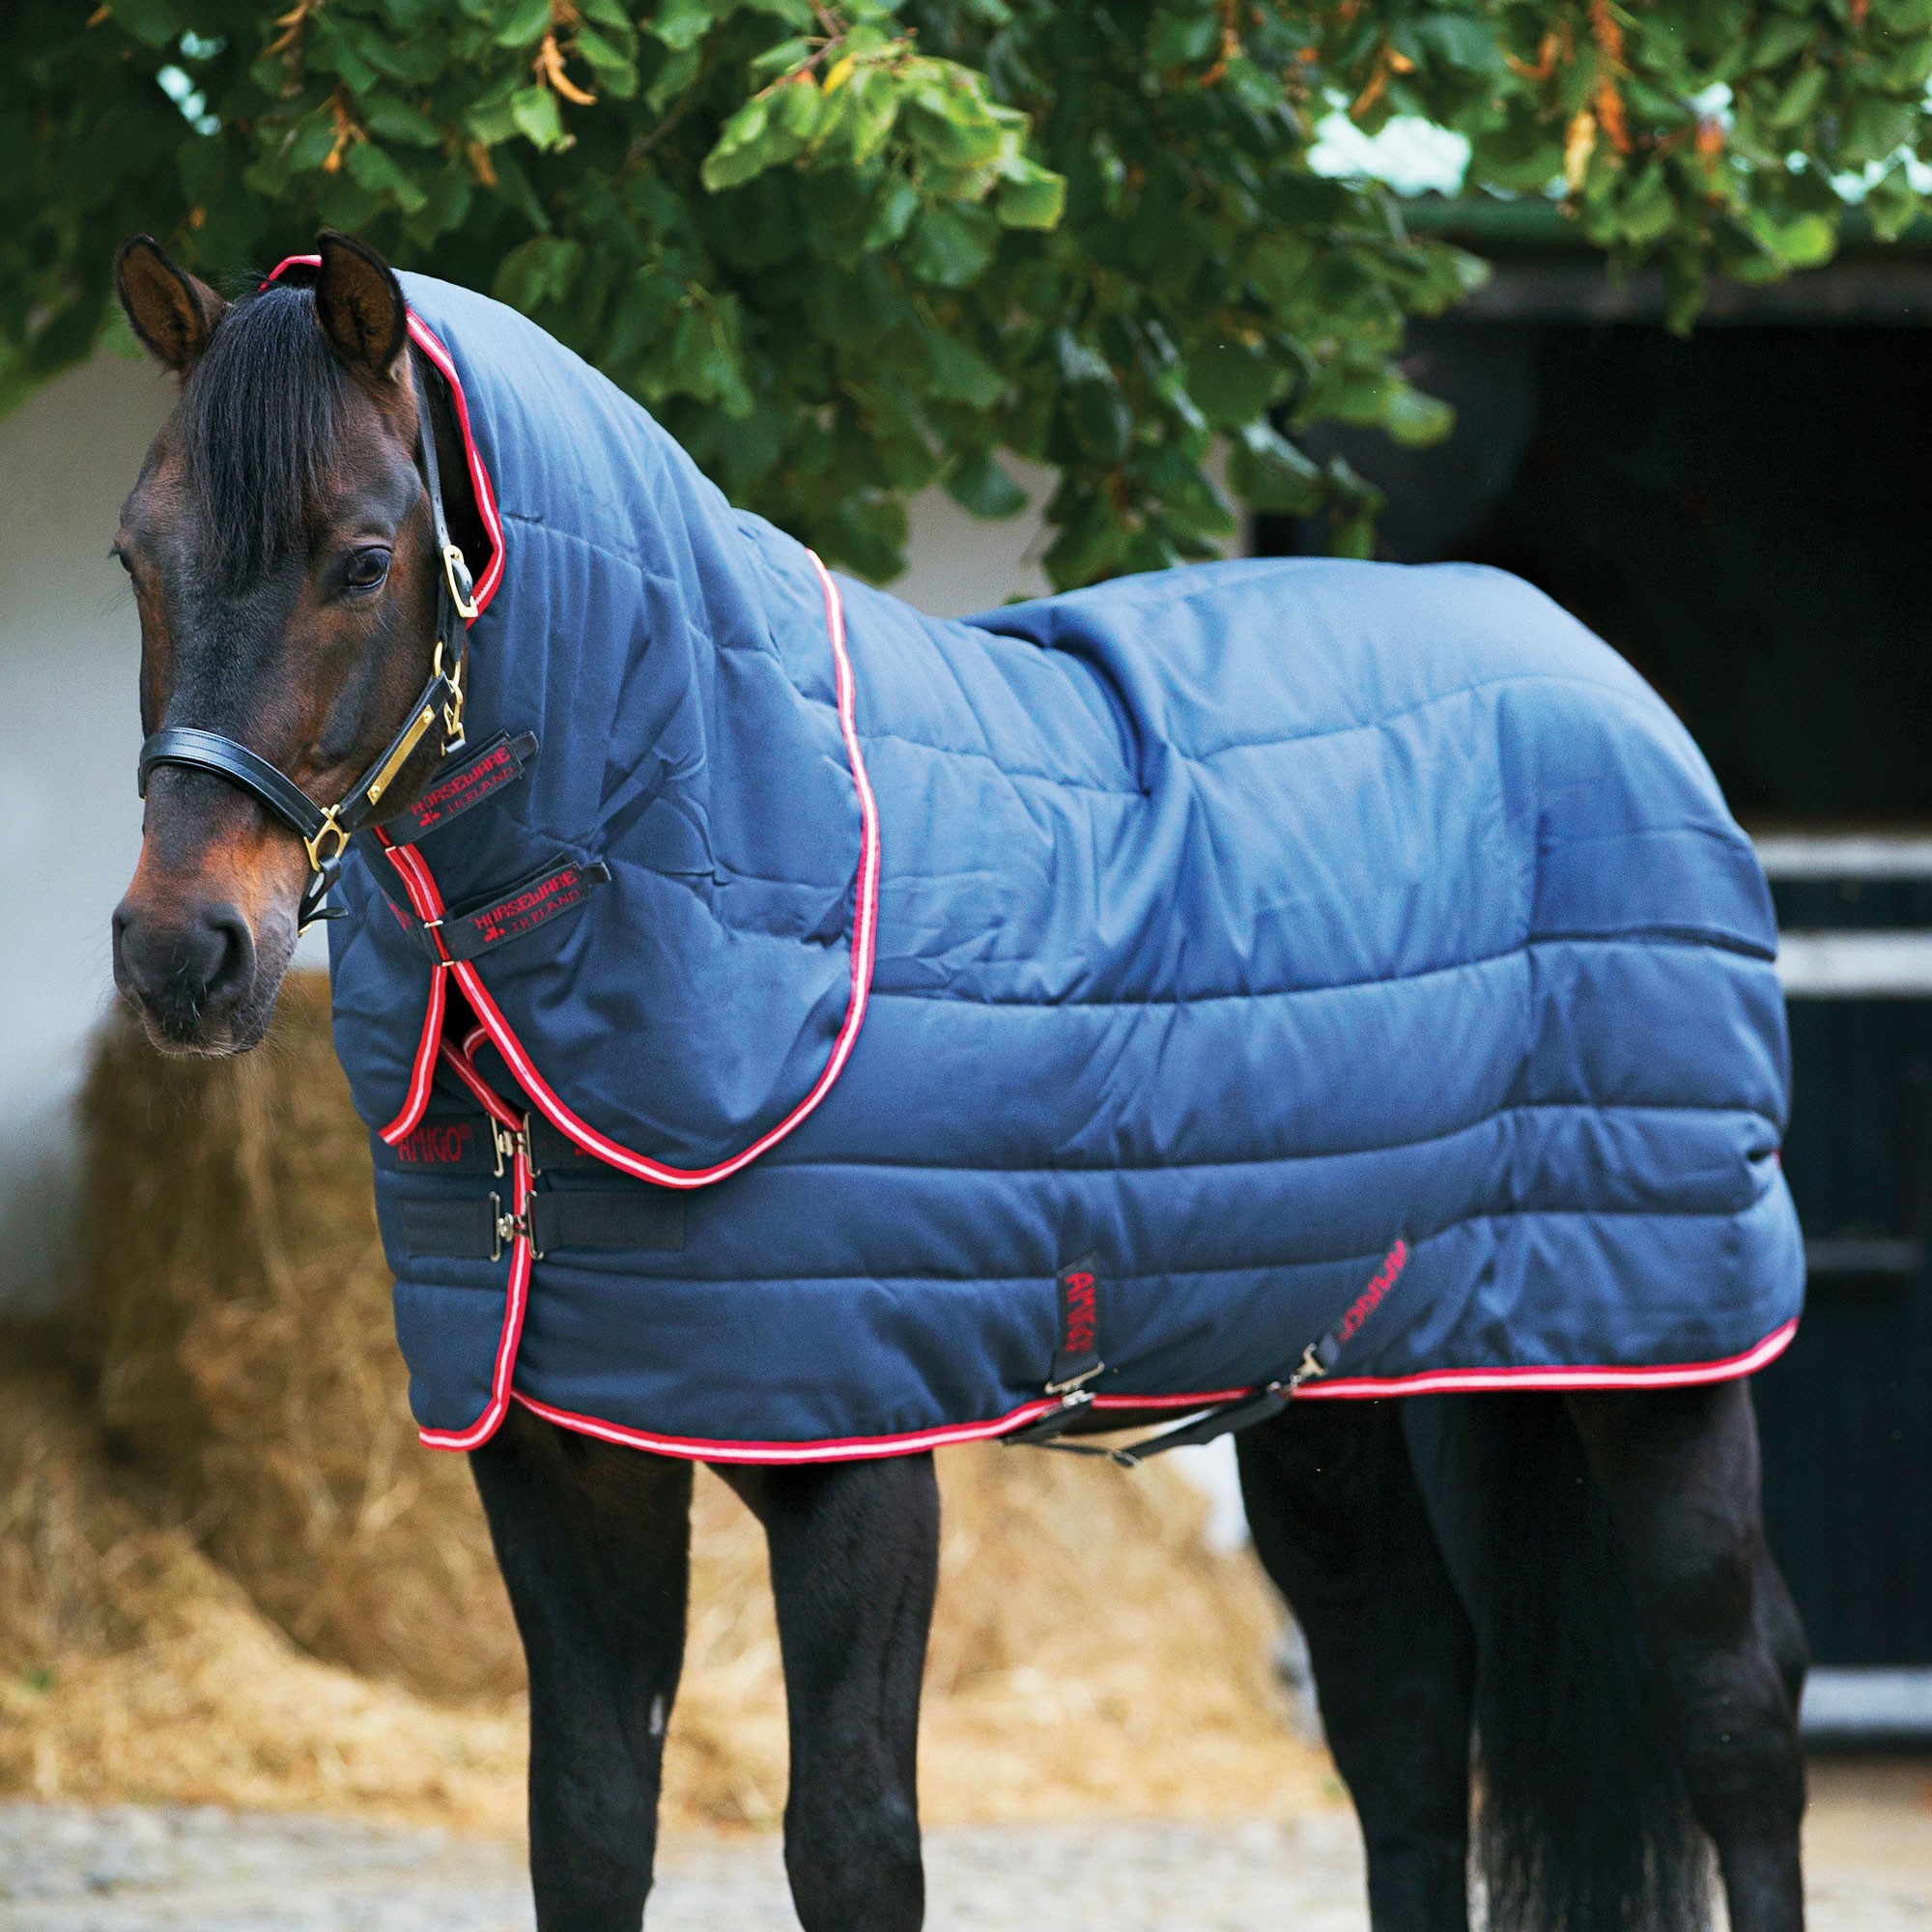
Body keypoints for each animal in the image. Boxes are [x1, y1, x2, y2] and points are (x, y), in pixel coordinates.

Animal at [107, 228, 1809, 1932]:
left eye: (361, 559)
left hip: (1661, 1360)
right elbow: (585, 1826)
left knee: (1735, 1710)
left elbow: (855, 1846)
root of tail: (1600, 675)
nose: (182, 951)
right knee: (1402, 1710)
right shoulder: (558, 1465)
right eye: (136, 557)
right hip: (1332, 1379)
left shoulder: (855, 1472)